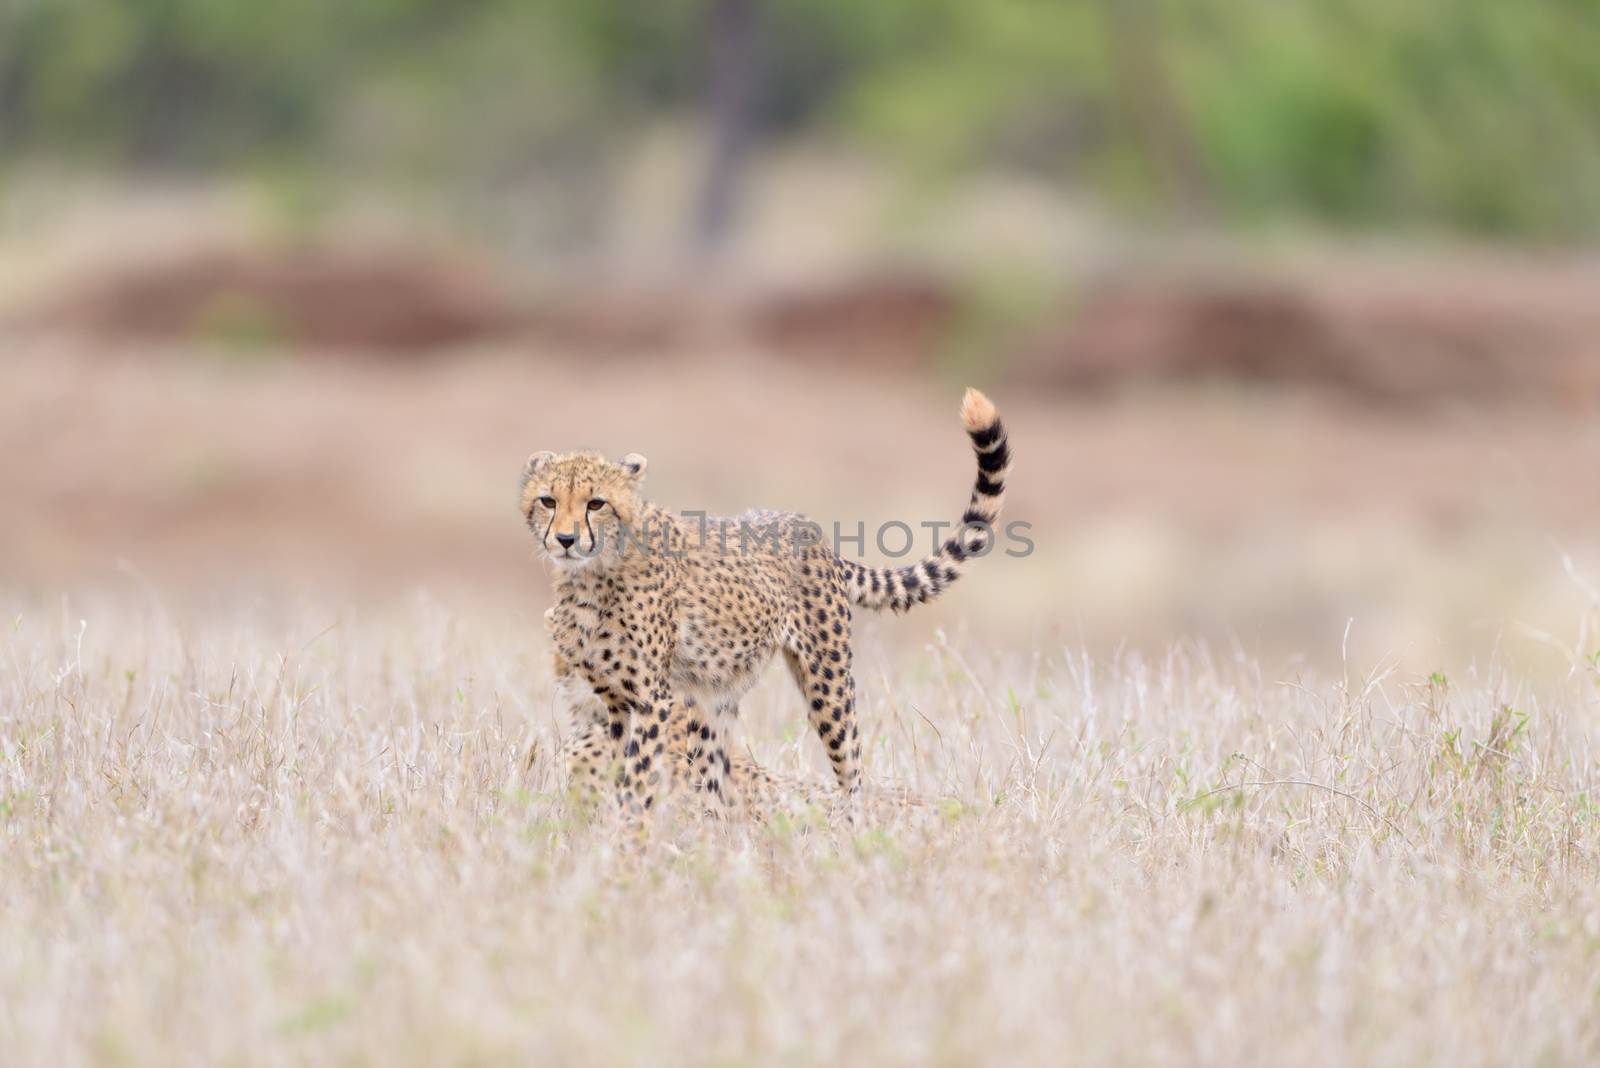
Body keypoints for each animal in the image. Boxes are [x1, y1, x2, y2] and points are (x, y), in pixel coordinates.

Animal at [518, 388, 1004, 812]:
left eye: (596, 503)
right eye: (548, 500)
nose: (565, 540)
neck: (593, 574)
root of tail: (807, 527)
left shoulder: (650, 699)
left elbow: (636, 779)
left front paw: (629, 834)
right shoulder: (616, 699)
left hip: (828, 683)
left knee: (851, 772)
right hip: (713, 697)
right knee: (715, 782)